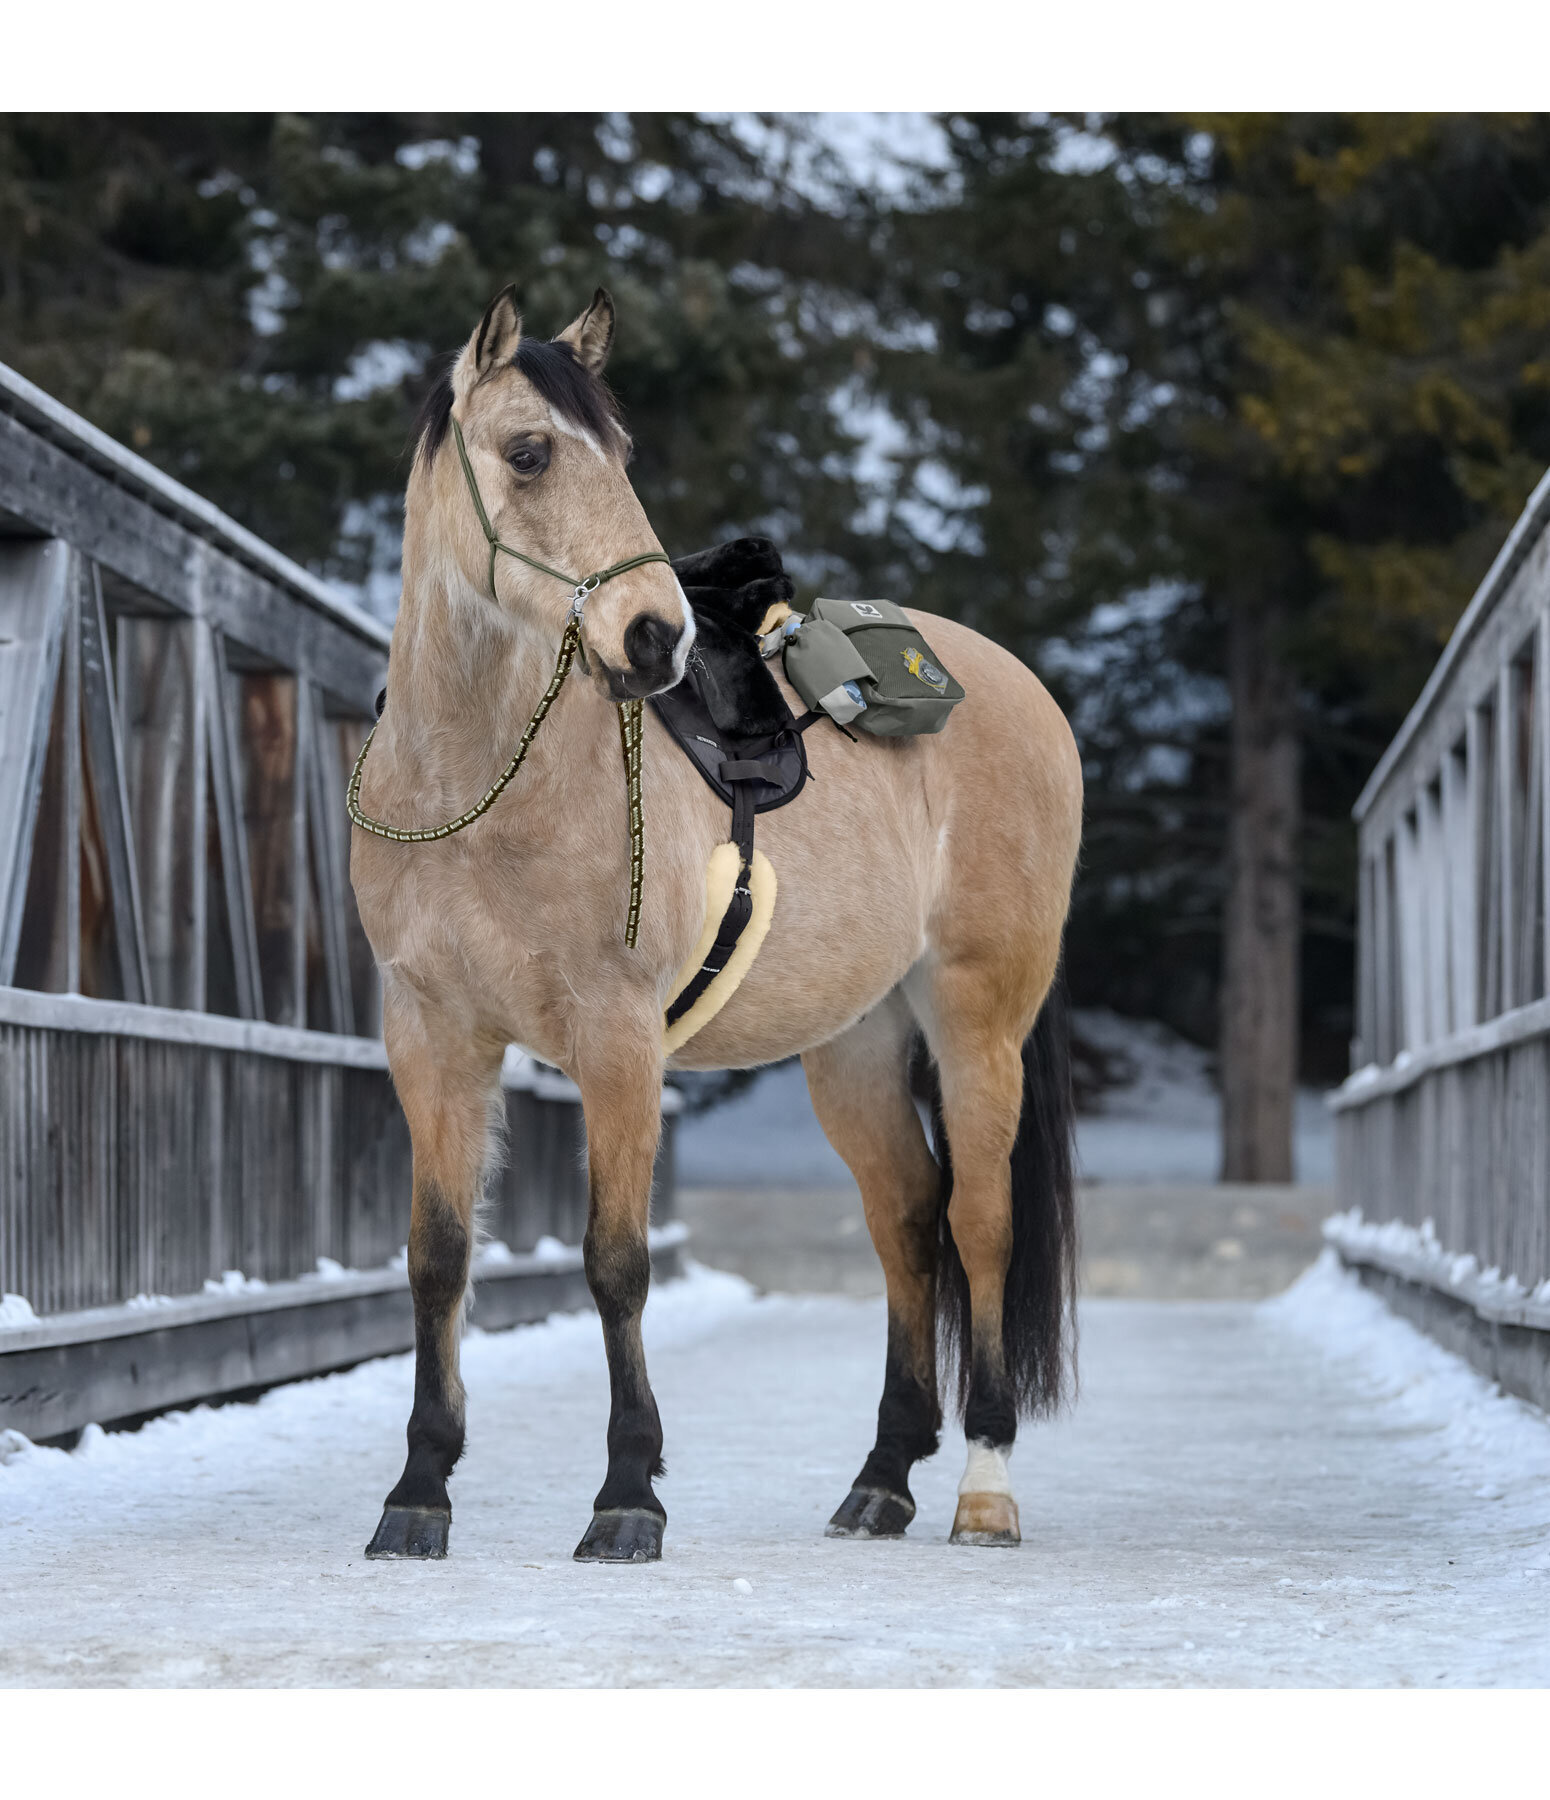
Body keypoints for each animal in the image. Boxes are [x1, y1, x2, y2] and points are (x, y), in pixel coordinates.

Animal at [345, 280, 1080, 1562]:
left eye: (621, 452)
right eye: (528, 453)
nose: (653, 636)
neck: (474, 788)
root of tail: (1018, 690)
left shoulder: (618, 1041)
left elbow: (616, 1264)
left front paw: (627, 1494)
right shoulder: (432, 1040)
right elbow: (437, 1262)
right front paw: (419, 1490)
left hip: (975, 1021)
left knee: (979, 1222)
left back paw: (983, 1486)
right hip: (856, 1047)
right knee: (907, 1220)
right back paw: (881, 1477)